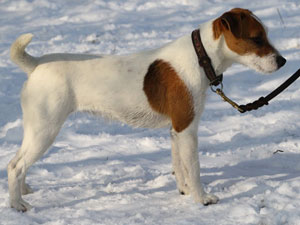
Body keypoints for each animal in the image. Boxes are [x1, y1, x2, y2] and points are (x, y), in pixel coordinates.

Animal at [8, 7, 286, 211]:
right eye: (256, 38)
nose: (283, 61)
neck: (201, 56)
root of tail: (36, 64)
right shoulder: (187, 129)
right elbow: (194, 168)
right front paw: (201, 198)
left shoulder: (176, 130)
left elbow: (180, 167)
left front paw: (185, 191)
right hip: (45, 129)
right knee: (15, 166)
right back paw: (17, 204)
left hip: (36, 130)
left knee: (18, 162)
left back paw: (23, 190)